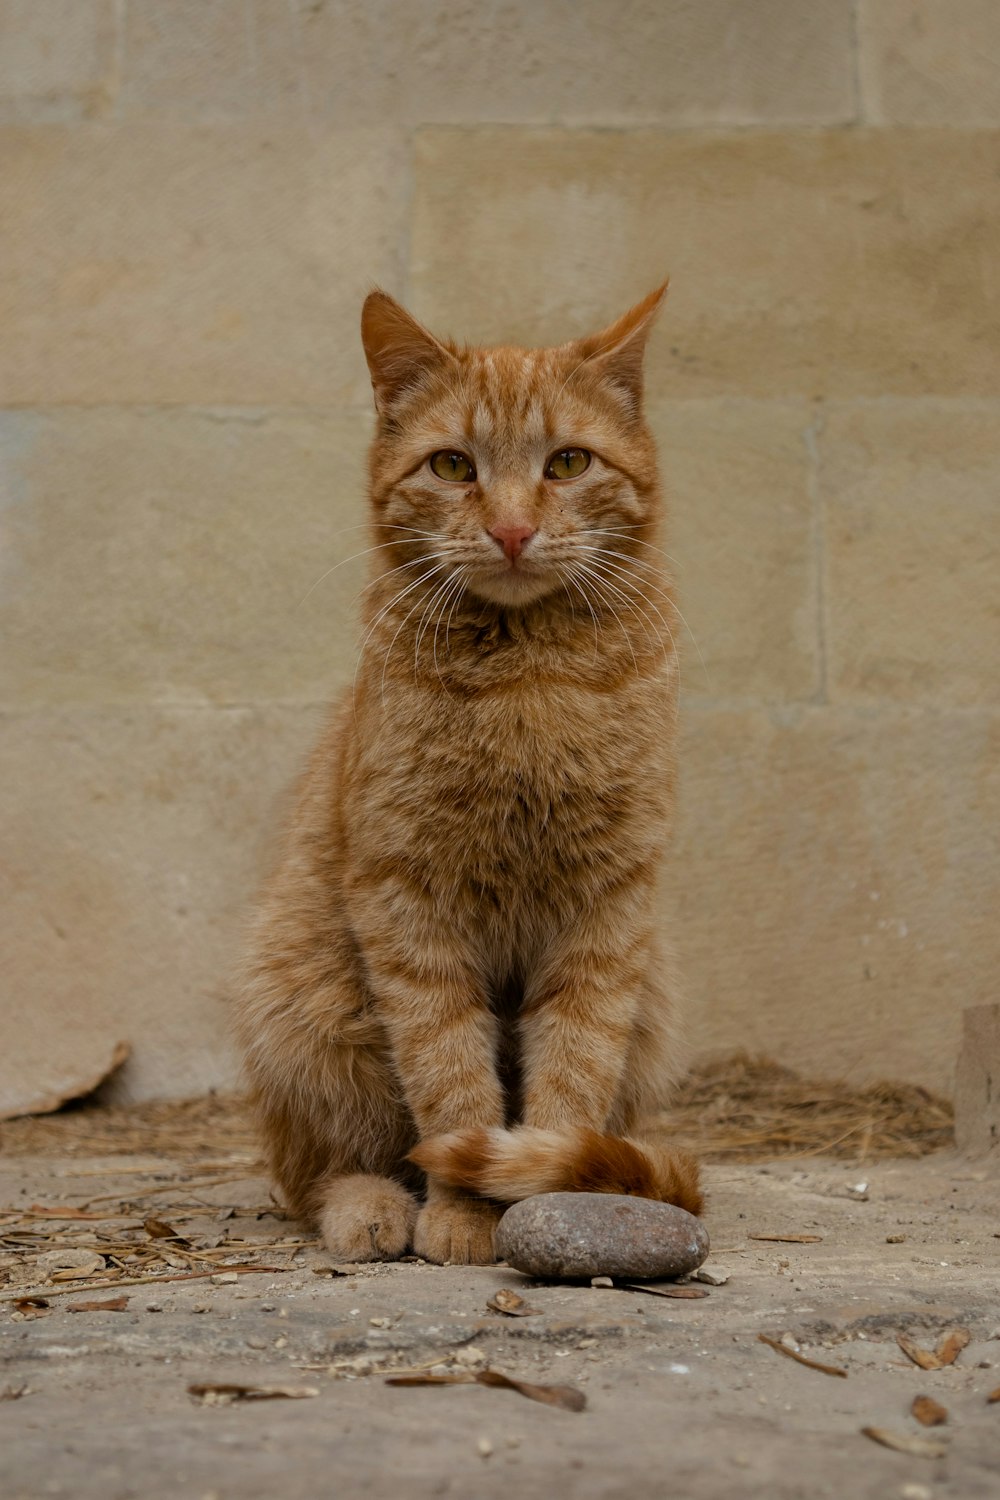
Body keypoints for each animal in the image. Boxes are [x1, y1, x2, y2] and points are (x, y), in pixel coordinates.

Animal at [236, 283, 704, 1266]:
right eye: (453, 465)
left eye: (568, 462)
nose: (513, 528)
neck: (527, 676)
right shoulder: (409, 906)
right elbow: (449, 1078)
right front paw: (463, 1210)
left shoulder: (608, 913)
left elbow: (572, 1073)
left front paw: (553, 1195)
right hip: (300, 999)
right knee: (321, 1168)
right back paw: (371, 1208)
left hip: (655, 997)